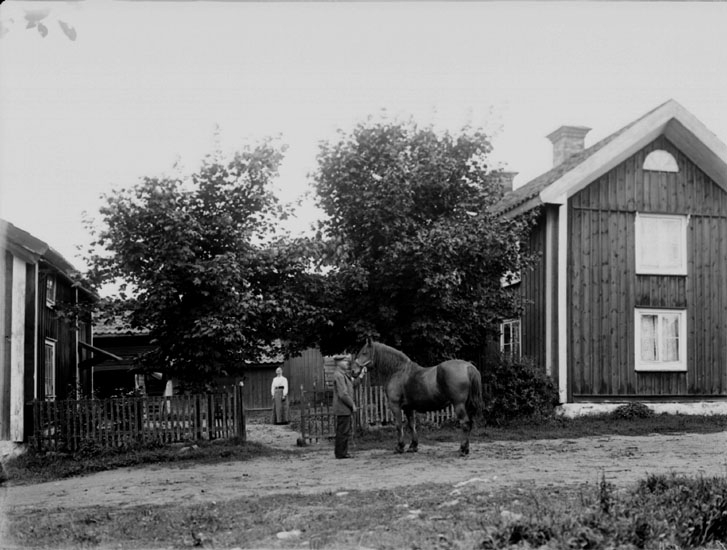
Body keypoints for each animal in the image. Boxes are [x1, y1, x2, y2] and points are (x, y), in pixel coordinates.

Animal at [352, 338, 484, 460]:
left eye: (364, 353)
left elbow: (399, 425)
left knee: (465, 424)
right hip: (466, 405)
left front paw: (399, 447)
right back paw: (466, 449)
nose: (353, 371)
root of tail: (468, 367)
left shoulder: (395, 405)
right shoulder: (408, 408)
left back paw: (462, 450)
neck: (398, 371)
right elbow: (412, 425)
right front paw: (413, 446)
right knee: (470, 424)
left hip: (458, 405)